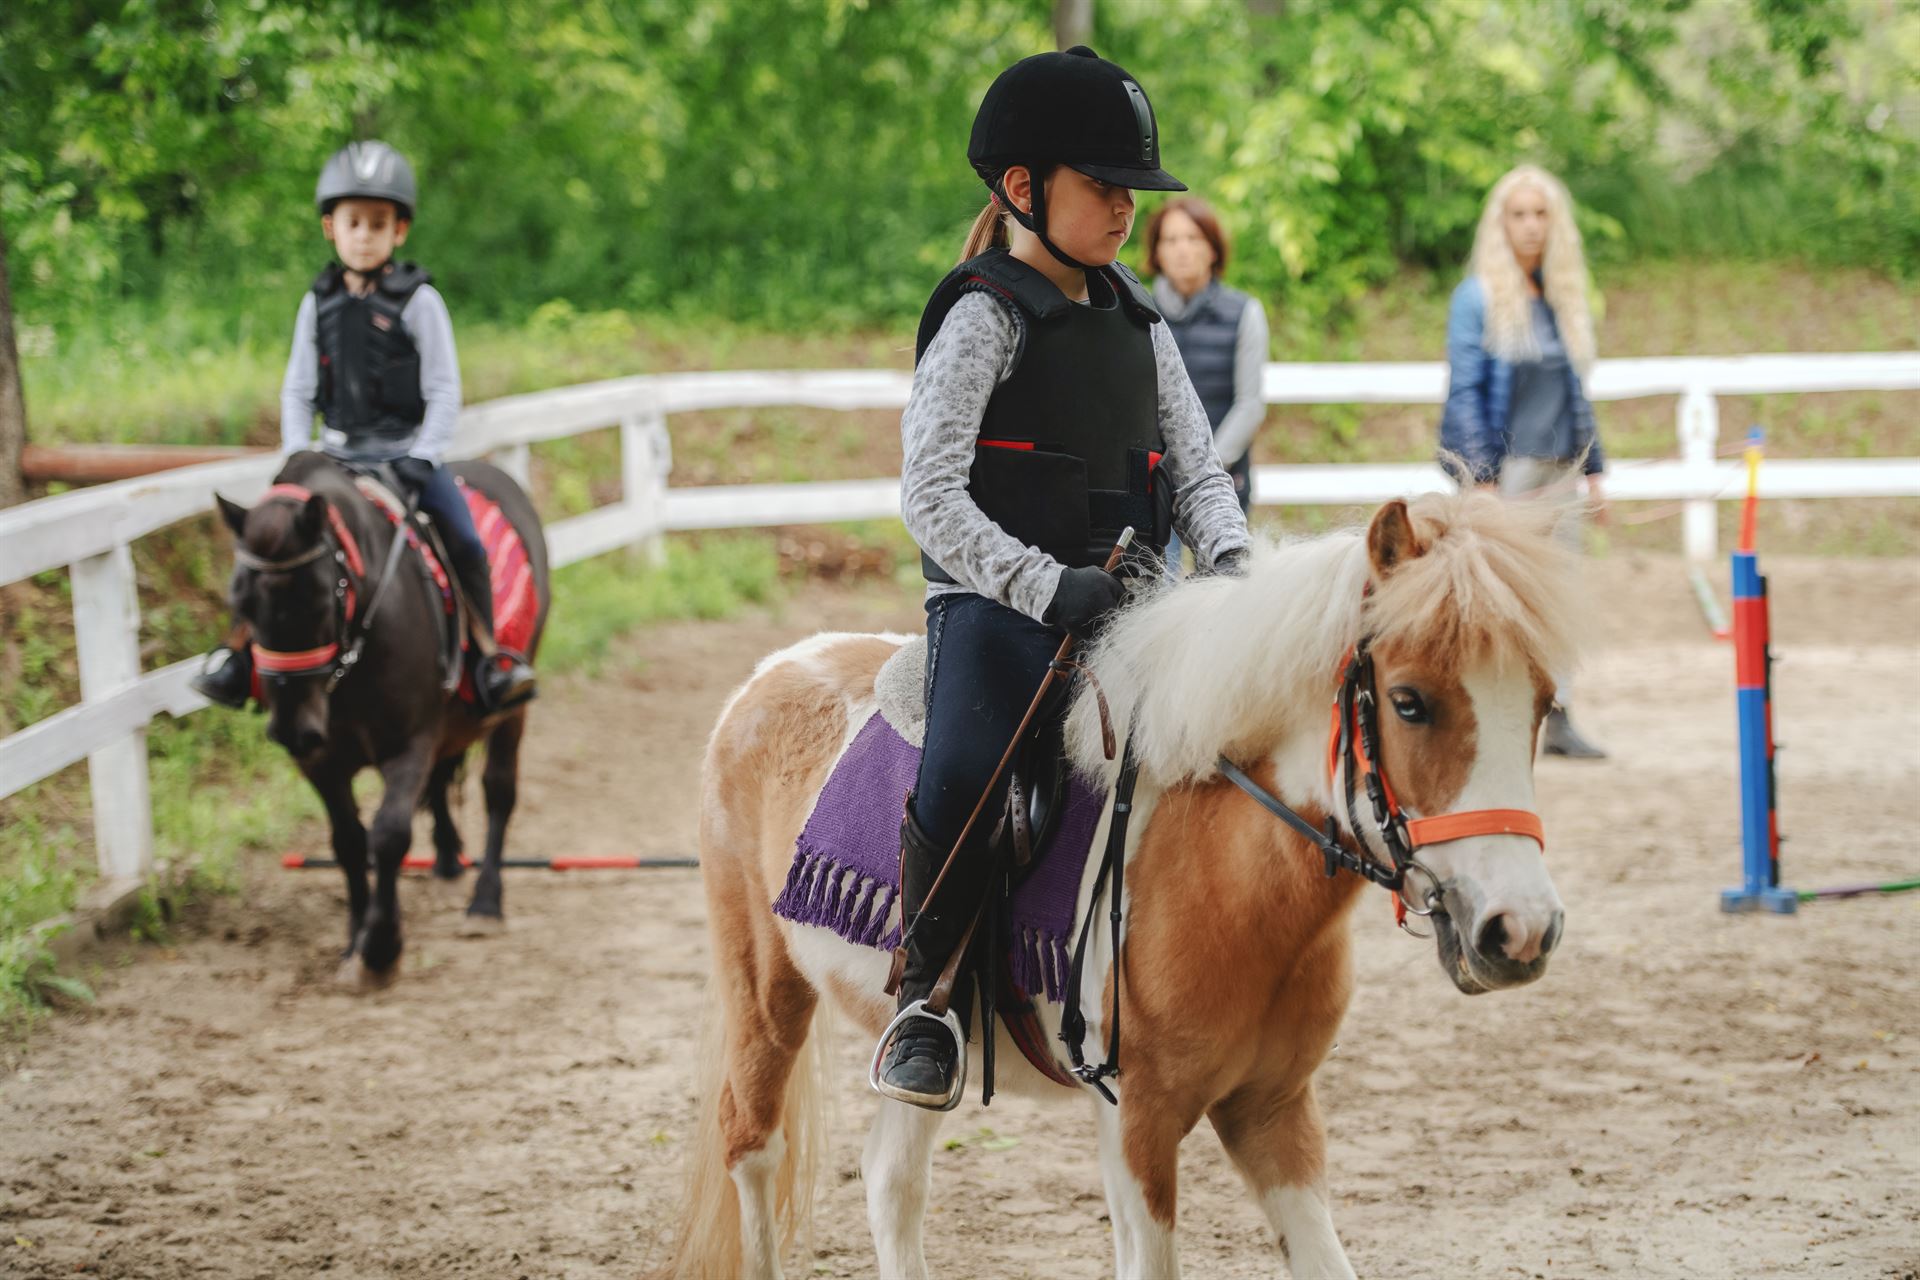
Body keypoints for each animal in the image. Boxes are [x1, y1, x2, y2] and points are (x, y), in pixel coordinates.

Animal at [218, 450, 552, 990]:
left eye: (317, 598)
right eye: (240, 602)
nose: (292, 728)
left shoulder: (408, 744)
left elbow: (390, 834)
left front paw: (381, 950)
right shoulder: (320, 761)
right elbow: (350, 843)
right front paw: (355, 942)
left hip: (511, 710)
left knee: (498, 790)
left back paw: (484, 903)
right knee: (440, 781)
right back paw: (446, 863)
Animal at [668, 485, 1582, 1274]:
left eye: (1543, 705)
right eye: (1409, 701)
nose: (1520, 930)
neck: (1224, 873)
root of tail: (778, 668)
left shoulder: (1274, 1111)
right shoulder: (1138, 1122)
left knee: (893, 1179)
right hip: (765, 990)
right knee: (752, 1147)